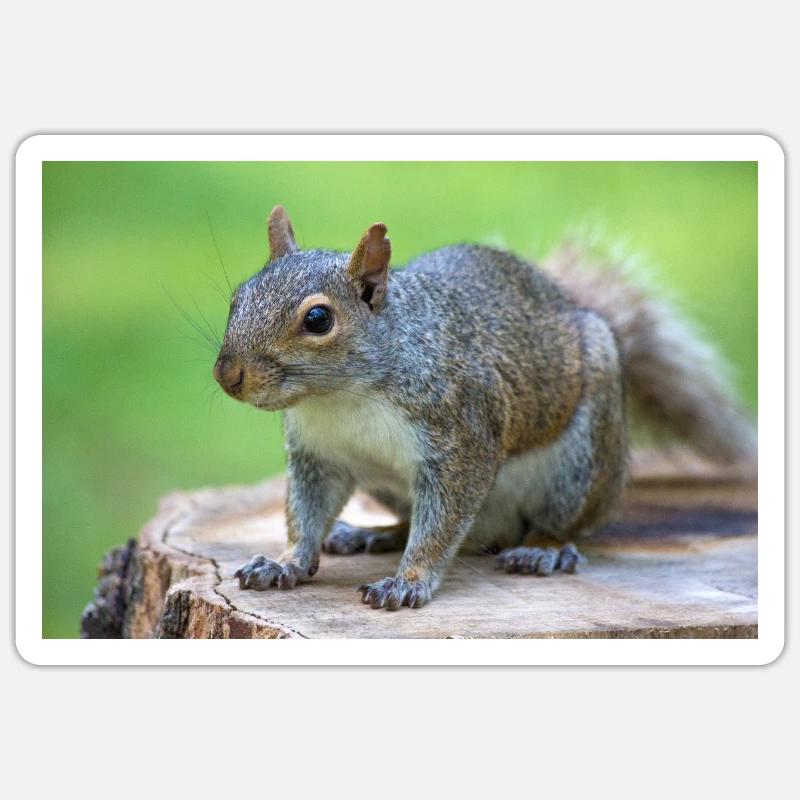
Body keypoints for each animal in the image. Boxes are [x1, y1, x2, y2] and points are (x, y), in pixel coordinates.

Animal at [213, 205, 755, 611]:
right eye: (239, 296)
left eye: (319, 319)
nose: (227, 375)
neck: (340, 399)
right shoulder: (319, 455)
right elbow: (306, 513)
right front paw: (285, 561)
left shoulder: (461, 436)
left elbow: (442, 522)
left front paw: (408, 582)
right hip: (388, 486)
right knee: (414, 520)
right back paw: (373, 534)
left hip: (582, 462)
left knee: (560, 523)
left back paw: (541, 551)